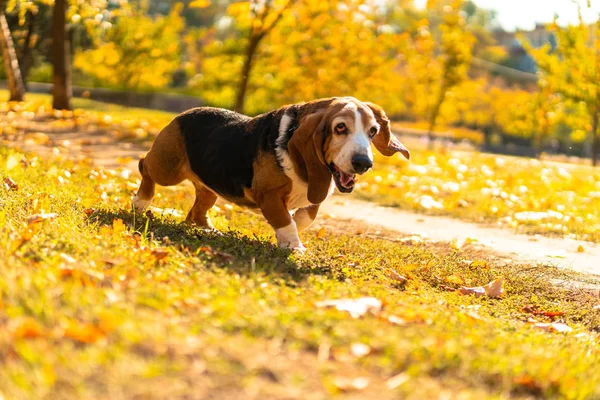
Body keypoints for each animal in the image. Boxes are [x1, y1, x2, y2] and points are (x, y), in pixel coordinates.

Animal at [133, 96, 410, 252]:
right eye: (340, 127)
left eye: (373, 131)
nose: (363, 163)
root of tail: (183, 114)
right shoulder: (269, 195)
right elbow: (286, 221)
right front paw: (294, 246)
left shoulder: (315, 192)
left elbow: (305, 215)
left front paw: (294, 227)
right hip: (167, 169)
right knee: (144, 165)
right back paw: (140, 201)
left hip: (209, 188)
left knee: (196, 211)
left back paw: (208, 230)